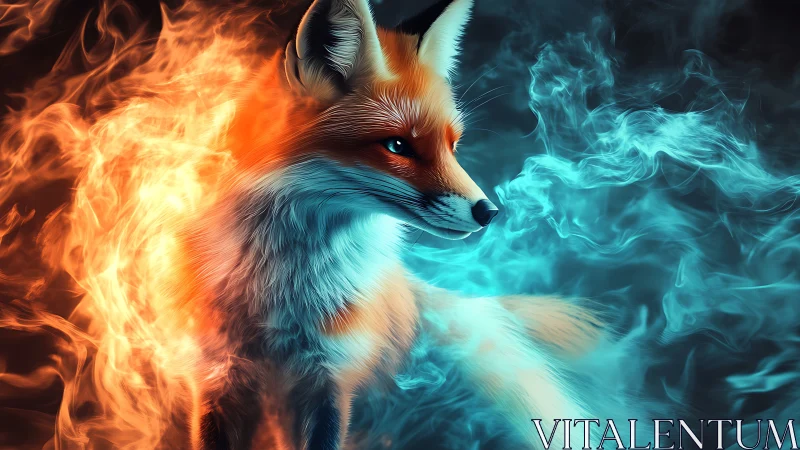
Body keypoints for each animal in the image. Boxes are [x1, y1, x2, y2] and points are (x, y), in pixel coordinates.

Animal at [179, 0, 605, 449]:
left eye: (452, 146)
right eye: (398, 145)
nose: (489, 211)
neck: (284, 292)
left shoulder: (334, 375)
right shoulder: (216, 372)